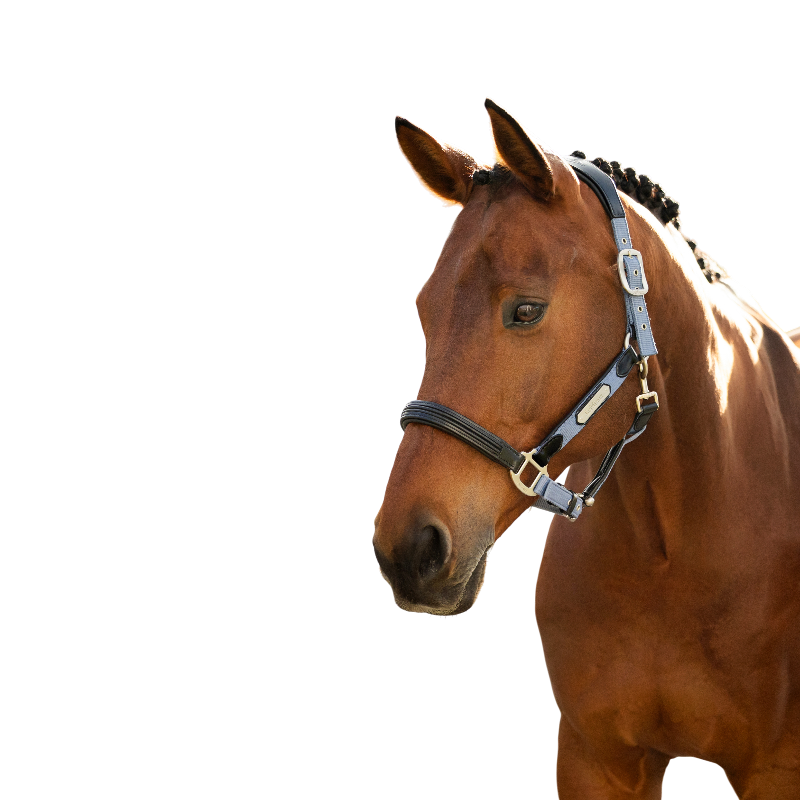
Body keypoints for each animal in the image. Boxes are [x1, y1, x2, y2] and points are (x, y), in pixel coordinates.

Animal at [373, 97, 800, 798]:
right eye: (424, 311)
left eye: (526, 310)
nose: (408, 549)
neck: (672, 551)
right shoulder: (596, 760)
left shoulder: (775, 770)